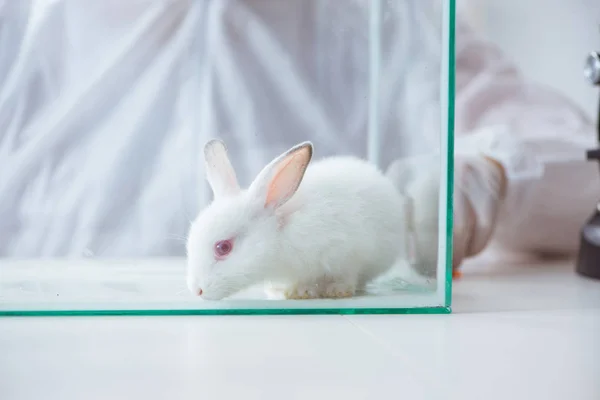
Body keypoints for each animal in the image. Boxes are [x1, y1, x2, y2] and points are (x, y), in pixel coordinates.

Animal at [186, 139, 408, 298]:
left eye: (223, 247)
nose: (197, 291)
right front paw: (285, 291)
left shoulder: (348, 252)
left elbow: (346, 275)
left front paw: (330, 291)